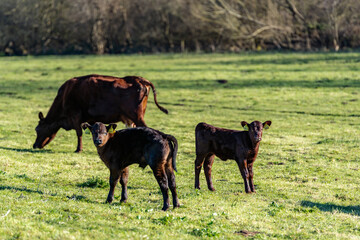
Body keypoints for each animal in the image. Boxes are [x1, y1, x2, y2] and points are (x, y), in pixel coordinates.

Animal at [32, 74, 167, 152]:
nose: (34, 145)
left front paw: (78, 149)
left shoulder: (75, 116)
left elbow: (79, 133)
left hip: (136, 116)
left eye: (37, 129)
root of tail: (139, 79)